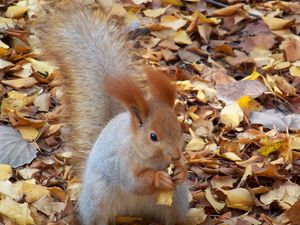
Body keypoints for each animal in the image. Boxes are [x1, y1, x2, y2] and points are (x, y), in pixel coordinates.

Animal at [34, 0, 190, 225]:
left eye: (179, 128)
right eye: (153, 136)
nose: (176, 156)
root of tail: (134, 211)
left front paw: (181, 171)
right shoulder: (121, 162)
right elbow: (135, 182)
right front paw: (158, 178)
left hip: (177, 200)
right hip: (97, 198)